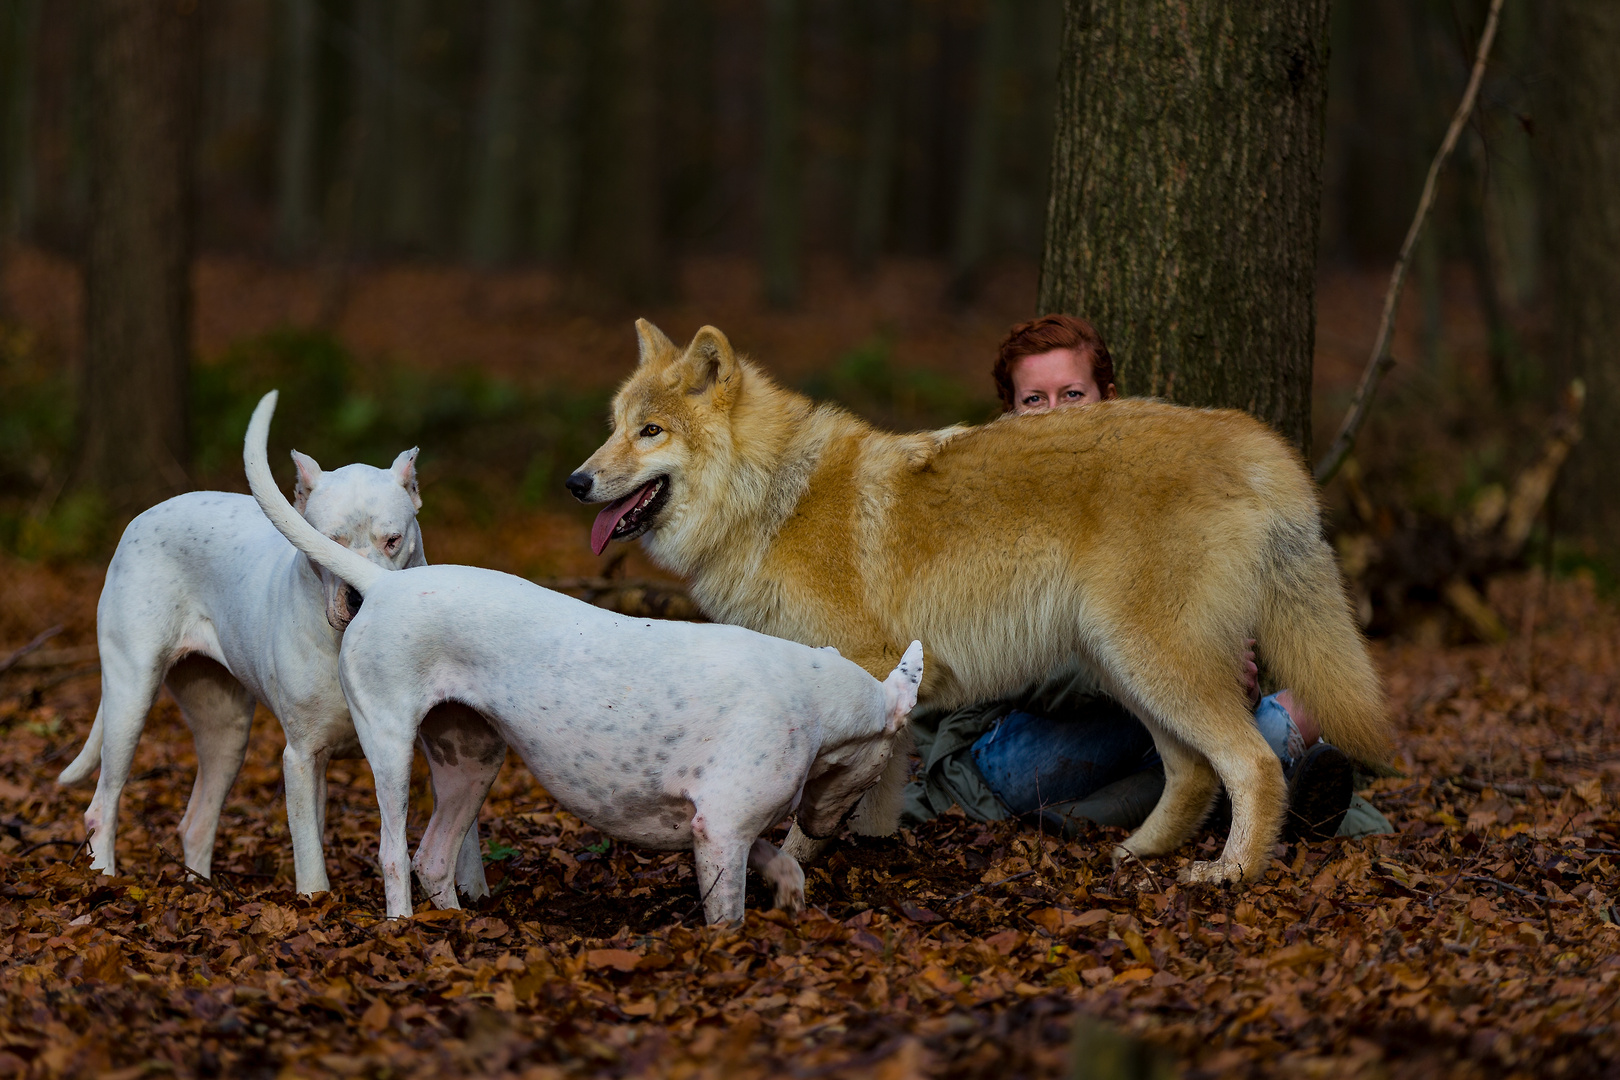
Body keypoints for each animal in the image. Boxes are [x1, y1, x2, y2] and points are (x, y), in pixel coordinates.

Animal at [241, 393, 926, 926]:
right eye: (879, 763)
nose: (831, 830)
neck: (814, 693)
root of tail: (380, 585)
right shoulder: (723, 830)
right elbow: (727, 912)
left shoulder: (722, 828)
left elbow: (777, 861)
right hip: (390, 749)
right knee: (391, 853)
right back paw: (405, 927)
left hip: (473, 759)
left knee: (432, 856)